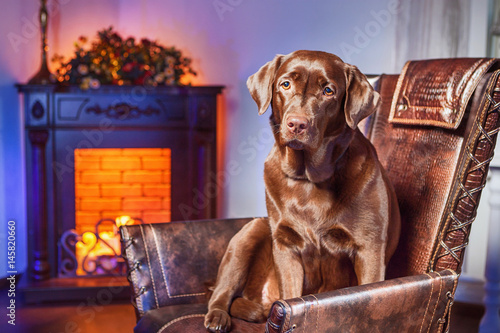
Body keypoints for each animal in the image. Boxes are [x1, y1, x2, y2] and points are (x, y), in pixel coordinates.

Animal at [203, 50, 398, 330]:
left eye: (328, 90)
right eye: (285, 84)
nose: (297, 124)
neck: (308, 178)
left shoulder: (369, 249)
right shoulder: (286, 246)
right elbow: (291, 293)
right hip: (253, 230)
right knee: (221, 291)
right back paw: (217, 317)